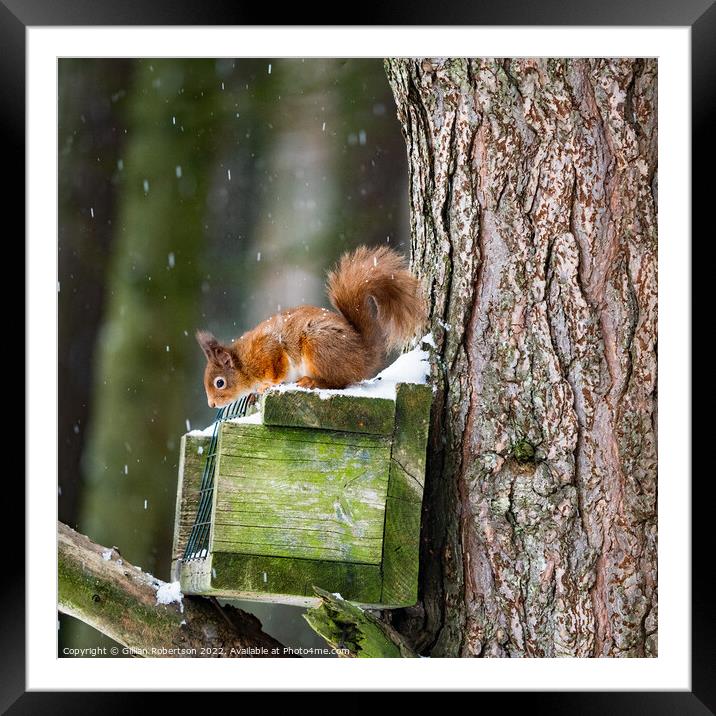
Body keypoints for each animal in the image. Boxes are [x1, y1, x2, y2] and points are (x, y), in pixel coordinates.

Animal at [196, 245, 422, 406]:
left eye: (219, 383)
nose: (211, 405)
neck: (243, 363)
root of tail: (364, 354)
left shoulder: (268, 351)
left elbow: (277, 369)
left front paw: (267, 385)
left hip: (319, 347)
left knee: (339, 382)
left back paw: (311, 382)